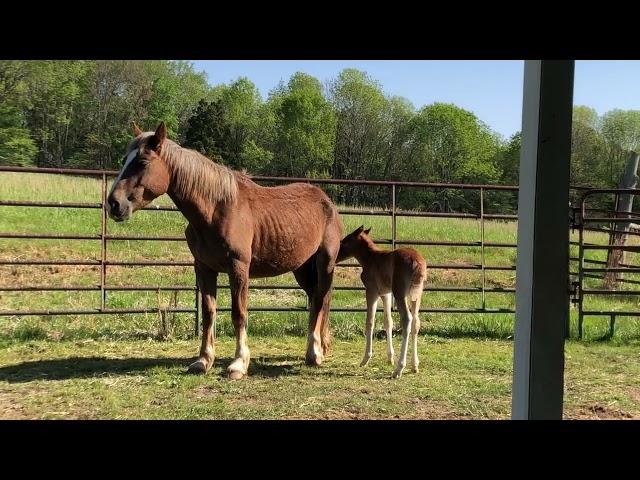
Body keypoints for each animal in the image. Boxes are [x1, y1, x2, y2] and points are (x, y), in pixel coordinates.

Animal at [107, 121, 342, 378]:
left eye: (142, 162)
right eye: (124, 160)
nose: (114, 204)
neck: (216, 209)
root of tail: (327, 201)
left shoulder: (238, 267)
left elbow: (239, 313)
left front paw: (239, 363)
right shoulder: (204, 268)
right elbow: (208, 312)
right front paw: (203, 360)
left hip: (324, 262)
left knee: (320, 299)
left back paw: (315, 353)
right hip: (301, 268)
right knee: (318, 299)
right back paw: (317, 348)